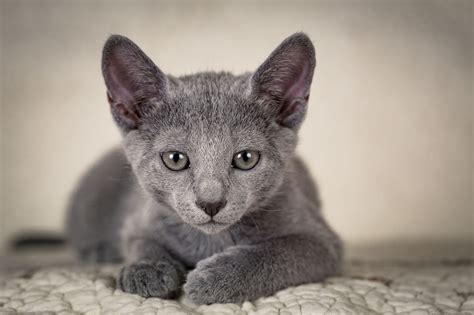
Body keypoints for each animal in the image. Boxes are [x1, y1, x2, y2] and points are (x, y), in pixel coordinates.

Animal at [65, 32, 340, 306]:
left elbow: (280, 251)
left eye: (246, 158)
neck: (209, 241)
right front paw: (148, 269)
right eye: (174, 159)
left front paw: (217, 279)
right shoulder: (138, 220)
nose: (211, 203)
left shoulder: (324, 241)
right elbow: (139, 242)